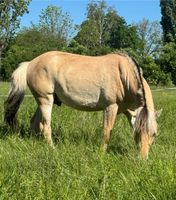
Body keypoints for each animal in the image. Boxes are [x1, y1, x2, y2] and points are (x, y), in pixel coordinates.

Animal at [3, 51, 161, 159]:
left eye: (154, 134)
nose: (143, 159)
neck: (124, 76)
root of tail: (30, 63)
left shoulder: (128, 110)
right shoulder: (111, 107)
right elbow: (106, 131)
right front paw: (102, 153)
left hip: (42, 101)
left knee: (35, 123)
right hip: (45, 100)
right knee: (45, 125)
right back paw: (52, 148)